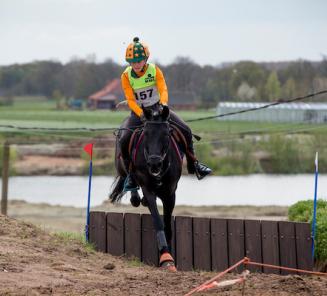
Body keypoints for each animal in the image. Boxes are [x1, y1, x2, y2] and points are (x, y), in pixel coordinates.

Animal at [109, 105, 182, 272]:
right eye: (146, 134)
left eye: (166, 134)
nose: (154, 163)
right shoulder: (149, 190)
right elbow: (158, 221)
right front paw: (165, 257)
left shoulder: (170, 194)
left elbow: (168, 225)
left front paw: (170, 257)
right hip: (122, 165)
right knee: (129, 178)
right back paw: (136, 197)